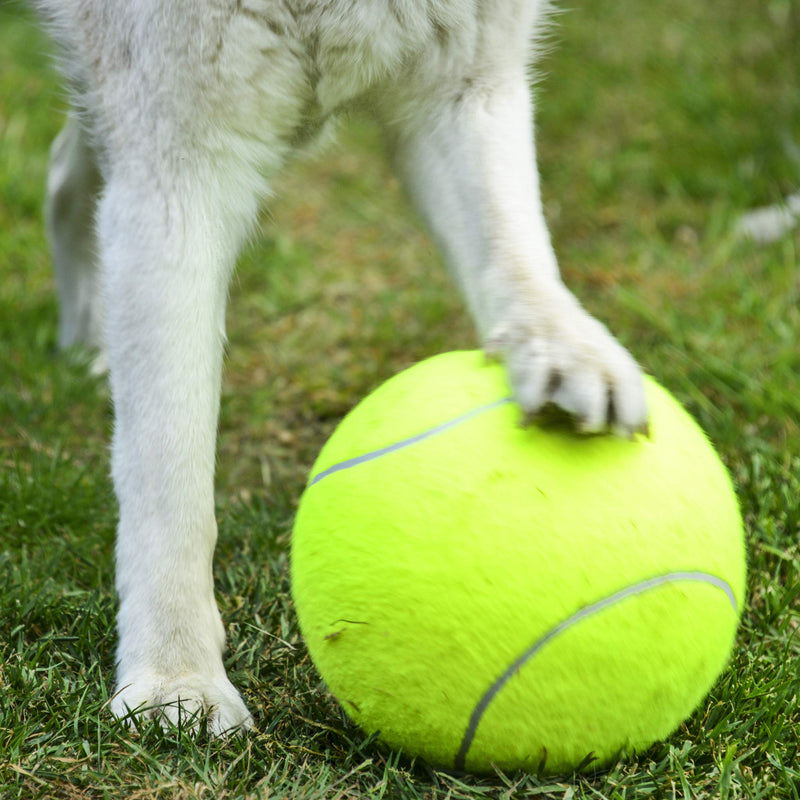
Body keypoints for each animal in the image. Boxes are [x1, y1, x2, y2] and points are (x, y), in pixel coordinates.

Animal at [37, 0, 648, 736]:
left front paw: (563, 348)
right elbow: (169, 474)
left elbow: (514, 246)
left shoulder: (463, 83)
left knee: (67, 169)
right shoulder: (178, 160)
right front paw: (176, 680)